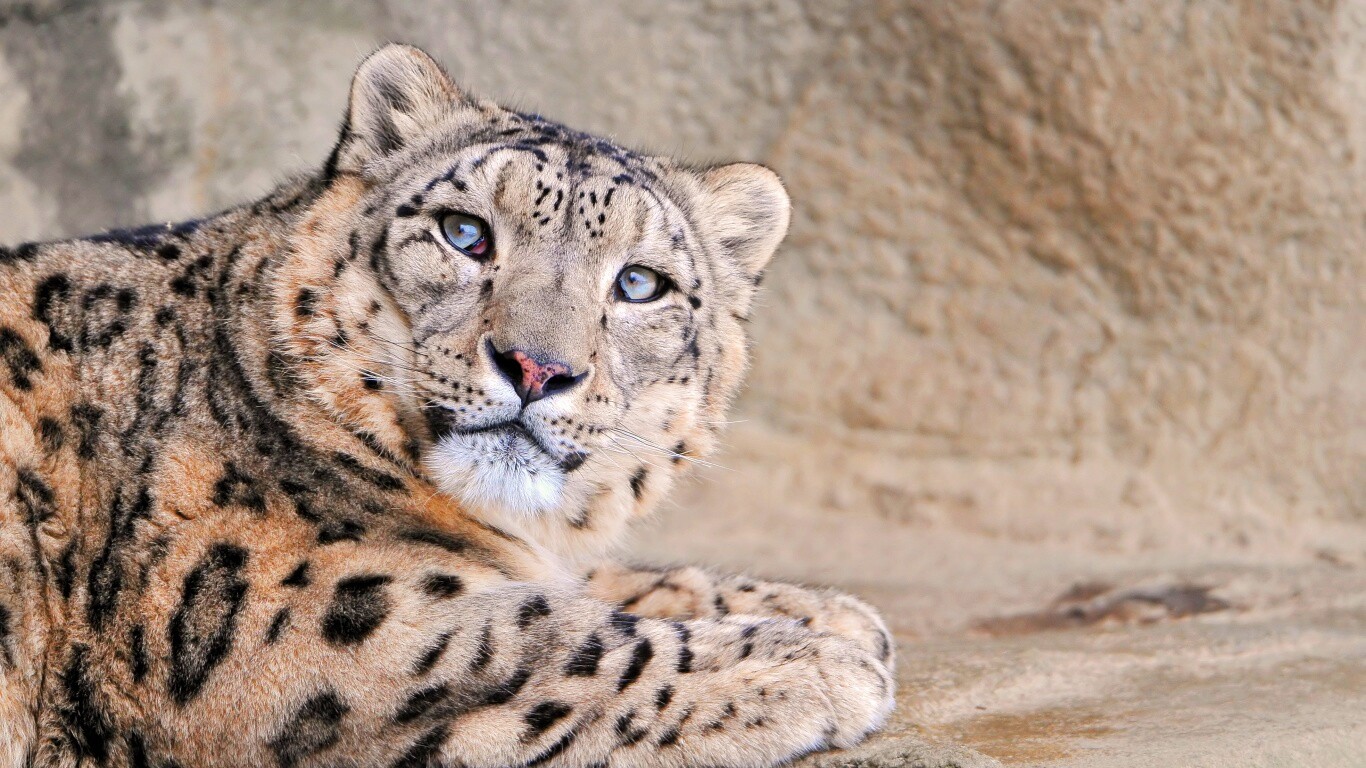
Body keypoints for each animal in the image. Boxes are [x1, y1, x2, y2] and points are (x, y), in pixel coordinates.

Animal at [0, 44, 894, 767]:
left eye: (640, 283)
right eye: (465, 233)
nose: (537, 368)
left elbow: (596, 585)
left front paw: (827, 613)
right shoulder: (291, 618)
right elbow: (545, 641)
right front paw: (814, 661)